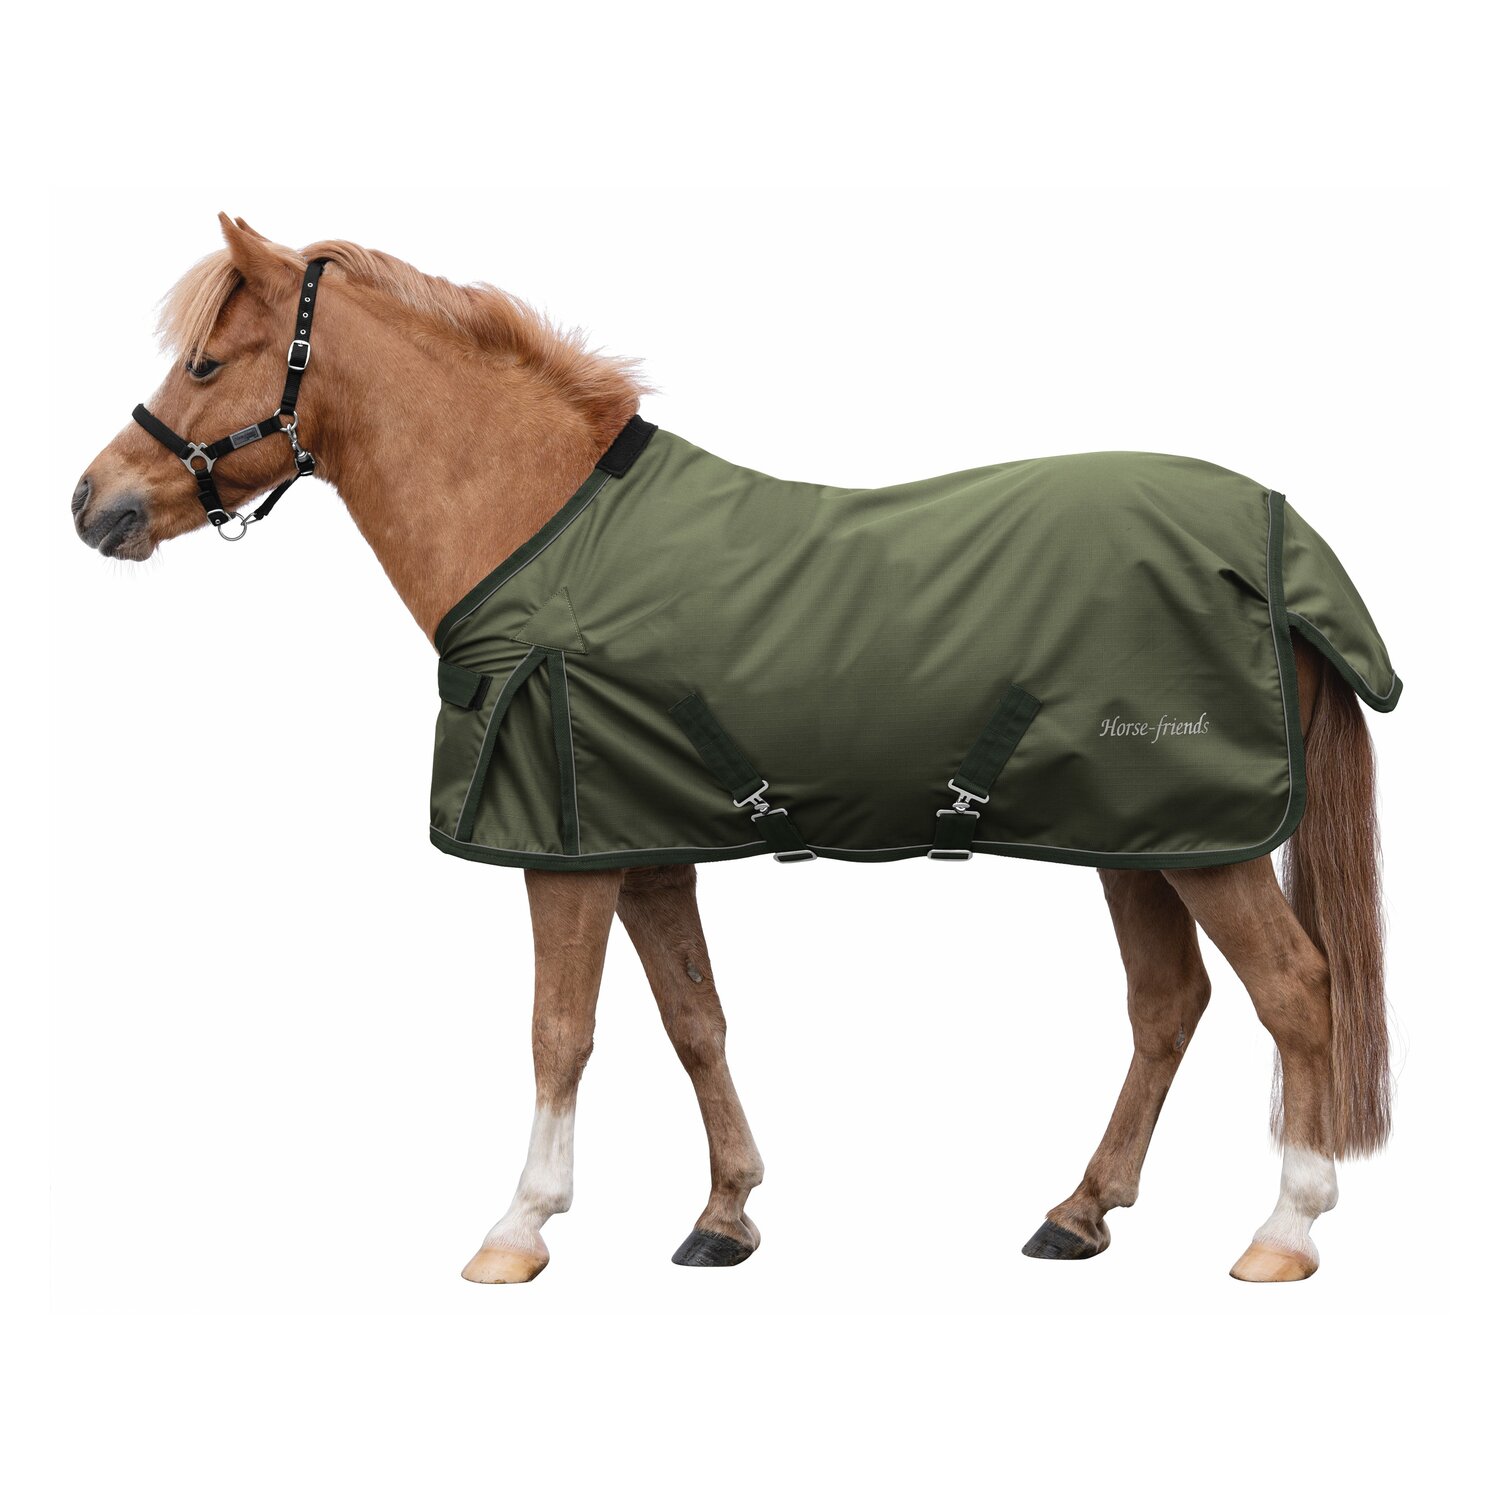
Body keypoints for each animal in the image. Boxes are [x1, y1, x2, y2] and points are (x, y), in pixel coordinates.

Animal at [71, 215, 1395, 1284]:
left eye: (204, 362)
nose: (93, 503)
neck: (541, 532)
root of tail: (1277, 541)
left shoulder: (568, 860)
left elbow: (560, 1032)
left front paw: (519, 1227)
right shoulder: (649, 848)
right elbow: (694, 1021)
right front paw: (725, 1216)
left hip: (1210, 844)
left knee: (1296, 989)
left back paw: (1286, 1230)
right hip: (1144, 840)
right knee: (1169, 1005)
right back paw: (1078, 1213)